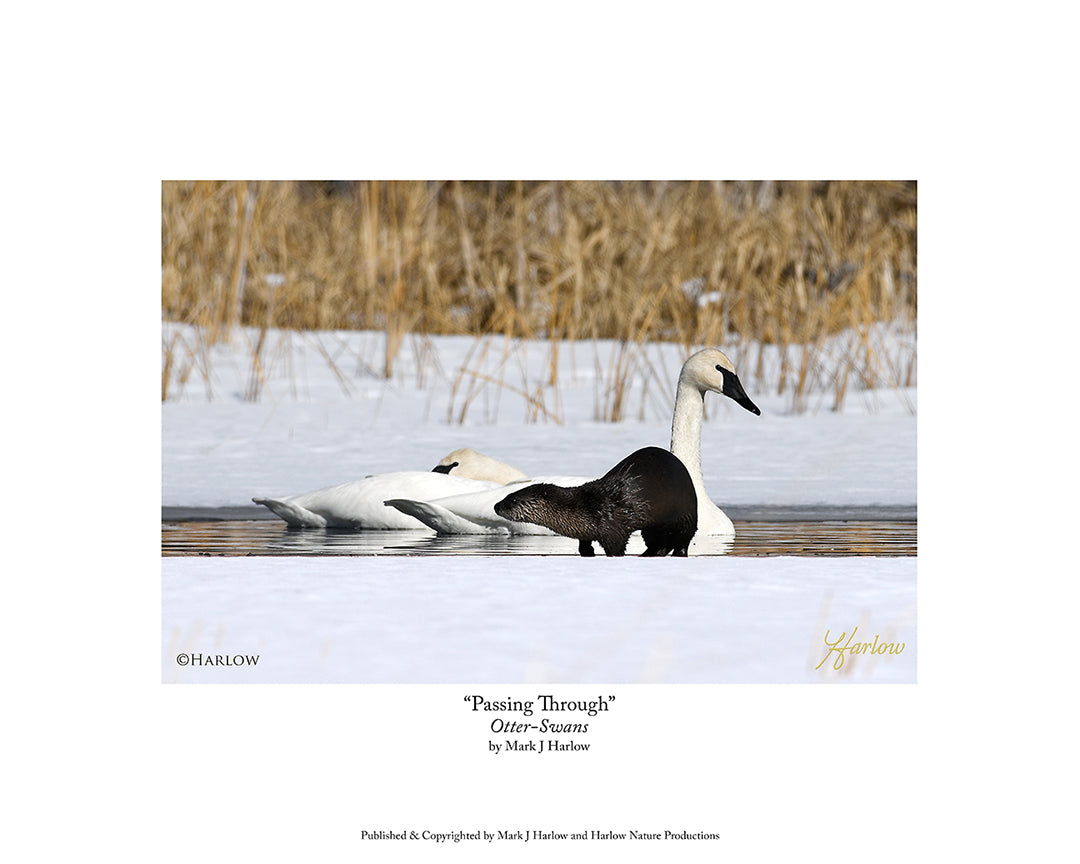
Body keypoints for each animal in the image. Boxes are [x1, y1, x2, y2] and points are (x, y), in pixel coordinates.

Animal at [493, 446, 698, 557]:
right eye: (507, 495)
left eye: (512, 499)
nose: (496, 506)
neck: (587, 508)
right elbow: (584, 542)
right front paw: (587, 551)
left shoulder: (614, 528)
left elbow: (615, 548)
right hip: (652, 527)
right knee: (659, 542)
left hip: (684, 514)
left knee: (682, 540)